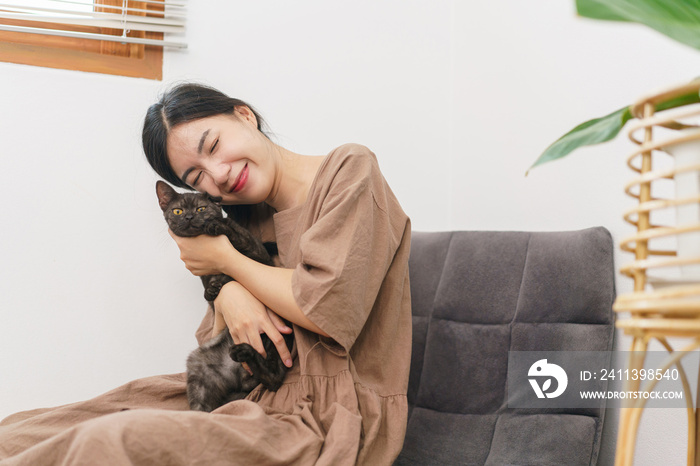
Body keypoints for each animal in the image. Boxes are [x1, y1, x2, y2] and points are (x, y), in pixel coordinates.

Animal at [155, 181, 292, 412]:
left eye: (201, 208)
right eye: (178, 211)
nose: (189, 217)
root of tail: (239, 377)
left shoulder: (259, 256)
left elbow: (238, 241)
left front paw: (217, 226)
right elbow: (213, 289)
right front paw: (213, 287)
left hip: (277, 339)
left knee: (274, 379)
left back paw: (245, 353)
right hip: (198, 366)